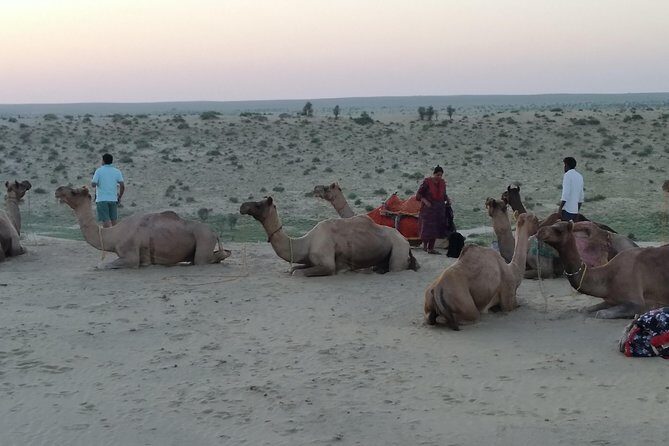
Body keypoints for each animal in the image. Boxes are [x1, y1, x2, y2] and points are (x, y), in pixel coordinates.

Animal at [55, 186, 231, 268]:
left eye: (74, 191)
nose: (58, 189)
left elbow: (101, 265)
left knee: (206, 259)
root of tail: (214, 232)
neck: (113, 235)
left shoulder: (131, 256)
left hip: (204, 240)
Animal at [239, 196, 418, 276]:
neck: (305, 242)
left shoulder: (327, 264)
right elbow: (293, 268)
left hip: (399, 250)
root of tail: (404, 240)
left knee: (395, 267)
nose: (242, 206)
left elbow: (297, 273)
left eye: (258, 205)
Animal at [537, 221, 669, 318]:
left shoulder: (636, 301)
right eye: (553, 224)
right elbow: (585, 310)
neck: (608, 276)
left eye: (558, 230)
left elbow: (600, 314)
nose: (540, 231)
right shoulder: (610, 299)